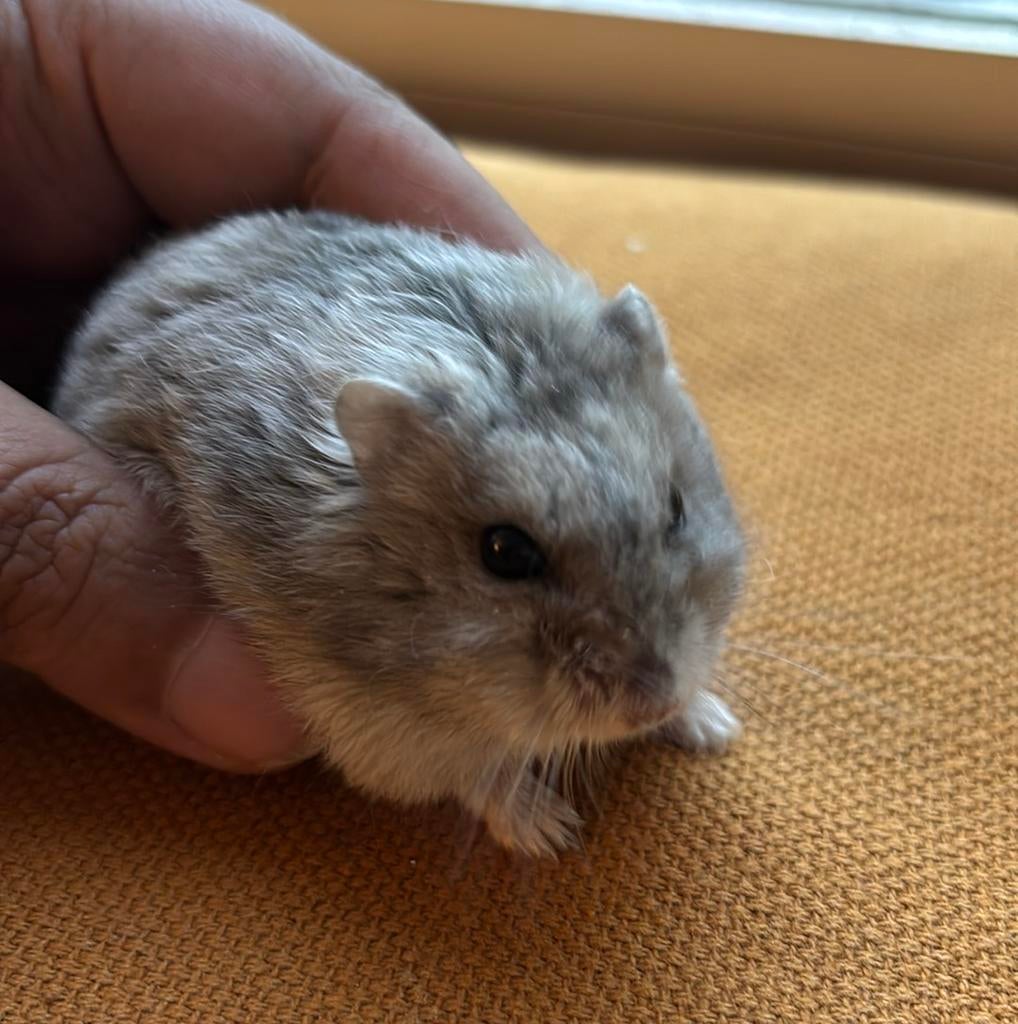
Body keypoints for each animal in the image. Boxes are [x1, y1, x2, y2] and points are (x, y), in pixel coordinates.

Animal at [54, 210, 745, 855]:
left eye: (677, 507)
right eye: (505, 552)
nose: (654, 701)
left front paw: (715, 728)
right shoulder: (388, 734)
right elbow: (483, 776)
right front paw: (554, 833)